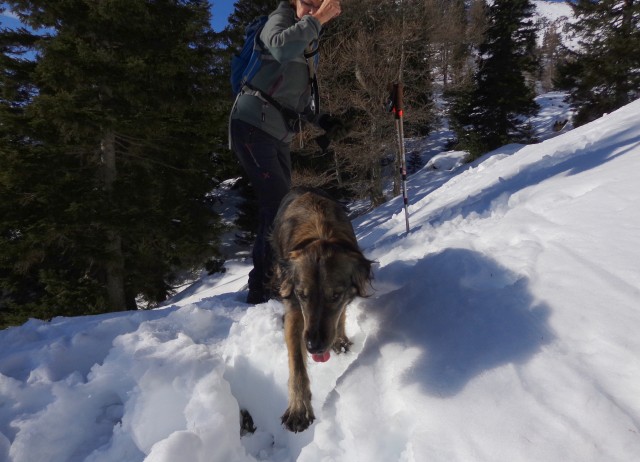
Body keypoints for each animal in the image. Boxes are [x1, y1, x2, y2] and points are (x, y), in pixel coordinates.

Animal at [272, 186, 376, 432]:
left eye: (335, 296)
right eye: (302, 295)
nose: (314, 347)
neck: (320, 231)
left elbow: (340, 316)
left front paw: (339, 340)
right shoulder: (294, 308)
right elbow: (296, 363)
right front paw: (298, 408)